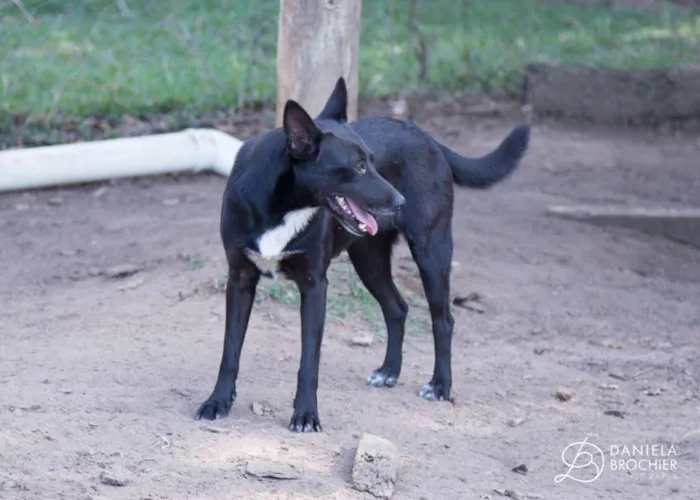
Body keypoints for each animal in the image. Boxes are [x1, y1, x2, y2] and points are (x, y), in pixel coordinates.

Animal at [194, 76, 528, 432]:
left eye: (372, 160)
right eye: (357, 167)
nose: (401, 202)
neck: (283, 204)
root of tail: (425, 135)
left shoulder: (315, 285)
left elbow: (308, 361)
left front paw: (306, 414)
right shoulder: (240, 279)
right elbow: (230, 350)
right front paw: (217, 402)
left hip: (431, 251)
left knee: (444, 319)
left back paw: (439, 385)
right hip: (369, 259)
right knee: (397, 308)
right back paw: (389, 372)